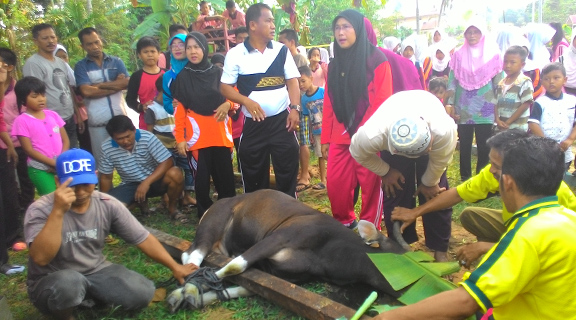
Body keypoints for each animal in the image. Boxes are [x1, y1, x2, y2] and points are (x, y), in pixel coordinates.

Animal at [169, 190, 408, 310]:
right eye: (408, 260)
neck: (326, 251)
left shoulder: (280, 273)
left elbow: (244, 287)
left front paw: (193, 297)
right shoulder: (277, 239)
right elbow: (236, 267)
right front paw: (186, 292)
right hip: (212, 225)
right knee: (194, 254)